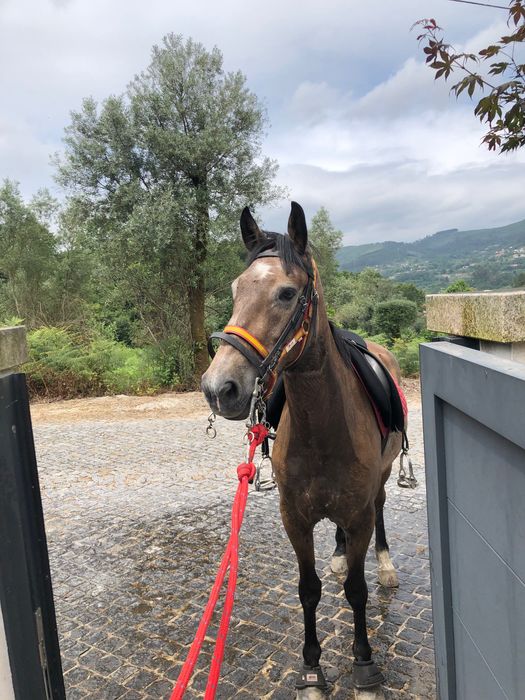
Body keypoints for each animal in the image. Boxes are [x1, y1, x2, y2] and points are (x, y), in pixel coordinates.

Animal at [201, 202, 404, 697]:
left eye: (287, 293)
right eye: (236, 289)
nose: (218, 388)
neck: (324, 427)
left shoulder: (359, 513)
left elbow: (357, 591)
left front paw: (364, 665)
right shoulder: (294, 517)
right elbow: (308, 589)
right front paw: (312, 671)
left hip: (380, 485)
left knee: (381, 509)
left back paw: (385, 563)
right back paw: (338, 556)